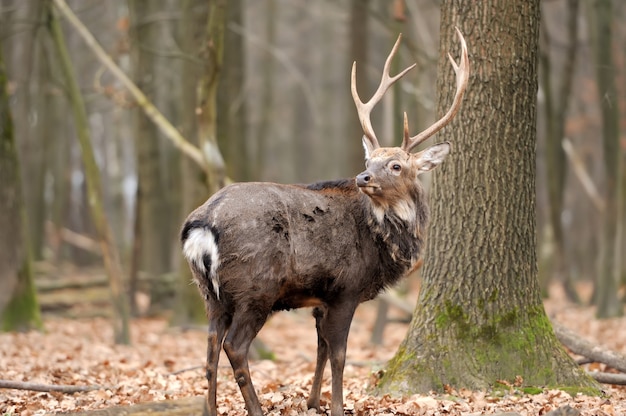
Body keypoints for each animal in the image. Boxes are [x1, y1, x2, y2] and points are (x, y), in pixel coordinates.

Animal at [178, 29, 466, 416]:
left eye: (395, 165)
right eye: (370, 160)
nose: (362, 177)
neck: (380, 241)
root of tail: (203, 223)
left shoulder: (321, 298)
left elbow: (321, 350)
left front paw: (314, 402)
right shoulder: (346, 289)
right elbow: (340, 355)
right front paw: (338, 407)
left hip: (210, 293)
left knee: (210, 347)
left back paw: (210, 408)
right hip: (256, 288)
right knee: (234, 346)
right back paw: (256, 408)